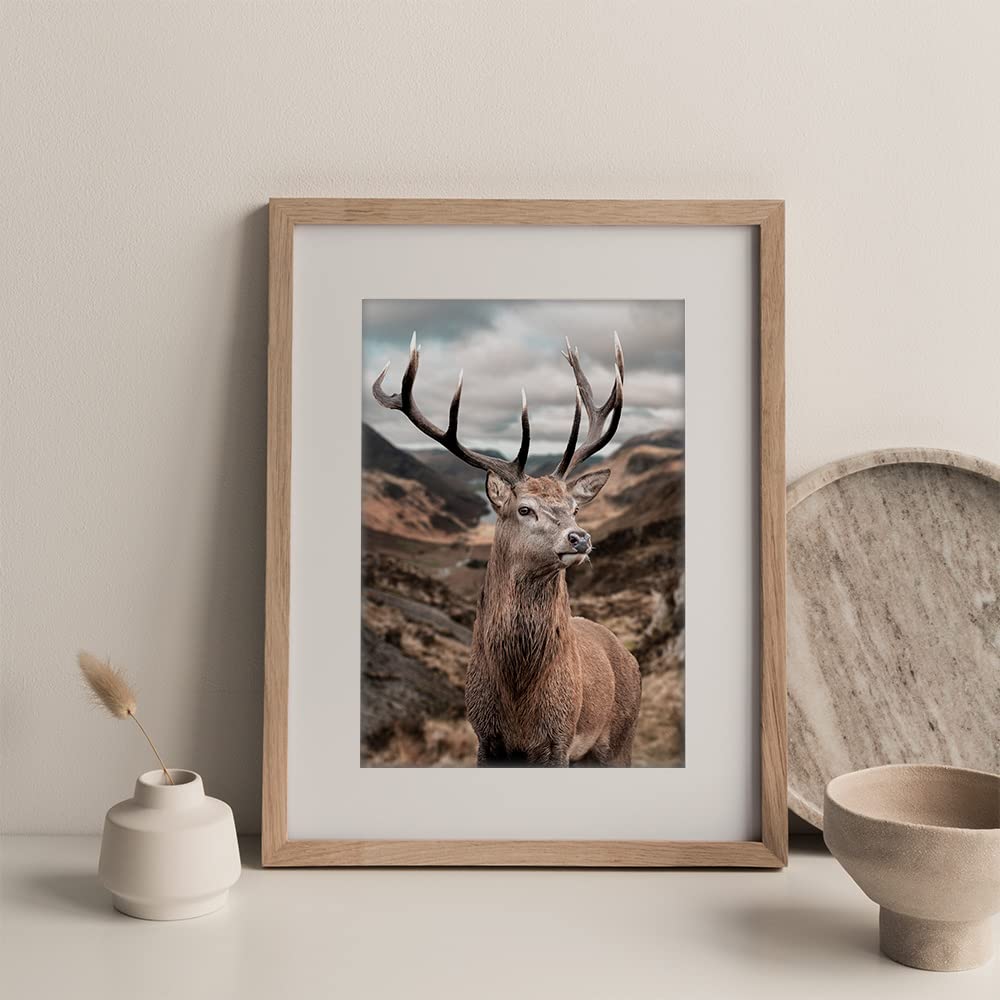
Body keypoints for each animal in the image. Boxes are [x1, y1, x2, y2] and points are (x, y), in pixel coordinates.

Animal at [373, 333, 641, 766]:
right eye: (524, 508)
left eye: (575, 508)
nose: (580, 538)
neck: (517, 700)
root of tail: (628, 655)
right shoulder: (485, 736)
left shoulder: (558, 739)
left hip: (619, 739)